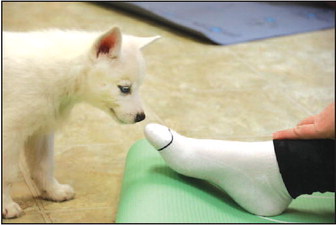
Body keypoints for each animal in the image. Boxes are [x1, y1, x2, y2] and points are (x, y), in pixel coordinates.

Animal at [2, 26, 160, 218]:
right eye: (124, 89)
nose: (141, 117)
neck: (61, 72)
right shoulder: (9, 133)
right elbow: (8, 173)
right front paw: (6, 205)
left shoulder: (42, 130)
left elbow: (43, 165)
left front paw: (53, 191)